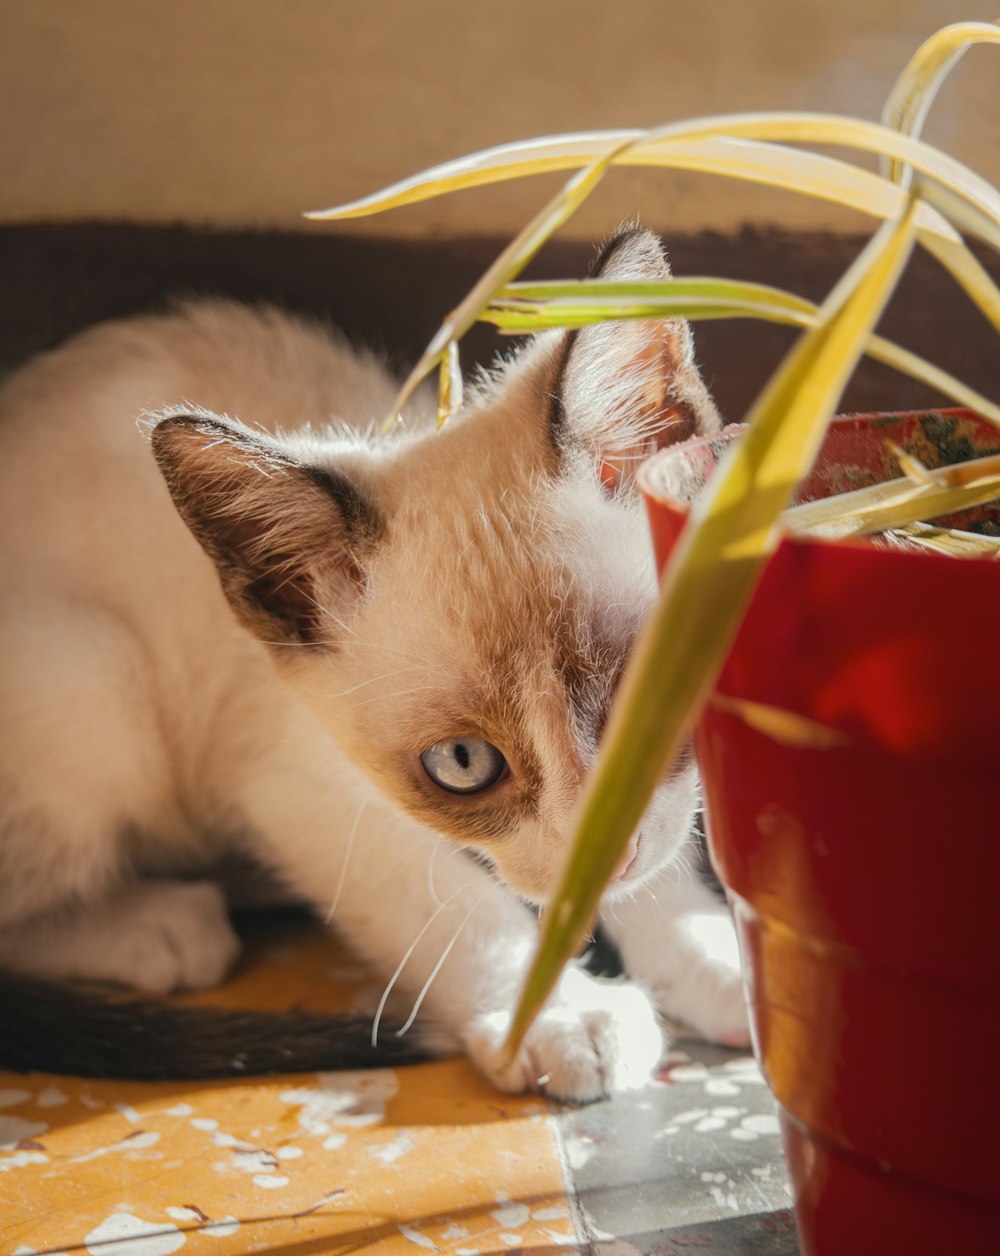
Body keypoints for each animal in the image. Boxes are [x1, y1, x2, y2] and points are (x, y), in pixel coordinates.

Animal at [0, 226, 748, 1100]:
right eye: (461, 763)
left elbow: (650, 851)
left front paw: (714, 961)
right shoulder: (294, 781)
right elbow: (446, 906)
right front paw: (559, 1015)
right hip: (95, 682)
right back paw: (163, 927)